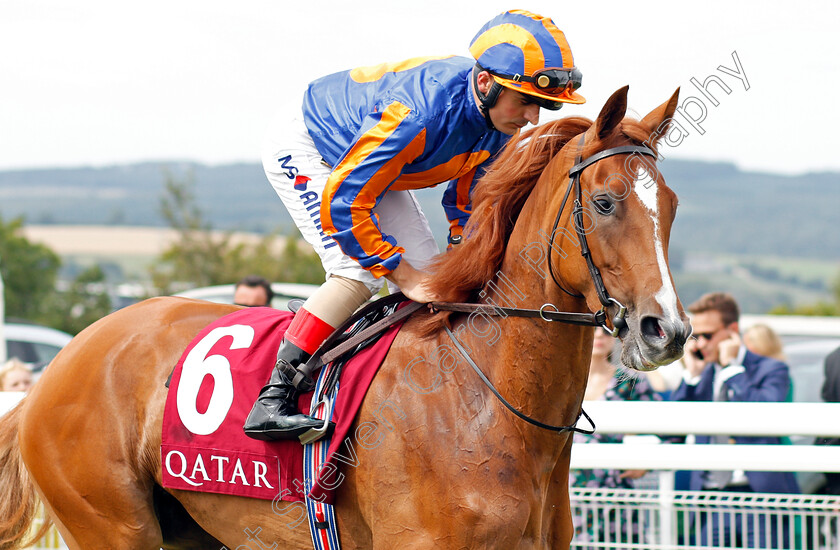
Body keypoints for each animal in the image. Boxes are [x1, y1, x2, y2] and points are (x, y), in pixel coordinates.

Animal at [0, 88, 688, 548]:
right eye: (605, 202)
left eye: (673, 205)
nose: (667, 330)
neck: (484, 402)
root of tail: (59, 363)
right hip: (111, 523)